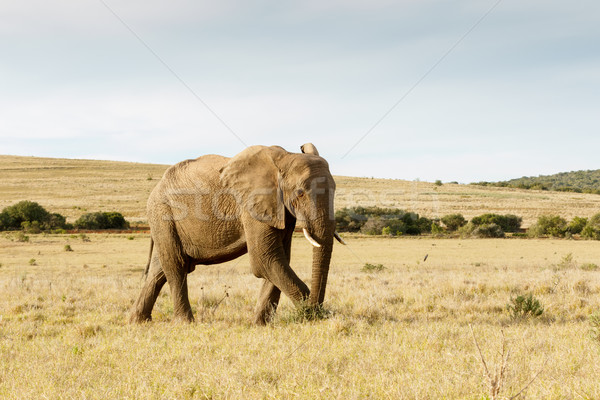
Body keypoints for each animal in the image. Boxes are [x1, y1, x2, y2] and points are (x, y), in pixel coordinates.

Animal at [129, 144, 344, 324]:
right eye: (300, 193)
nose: (319, 309)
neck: (285, 158)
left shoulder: (280, 208)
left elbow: (279, 258)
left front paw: (260, 325)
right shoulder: (251, 204)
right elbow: (265, 259)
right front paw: (310, 315)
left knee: (159, 270)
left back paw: (138, 321)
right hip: (163, 213)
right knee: (176, 266)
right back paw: (184, 323)